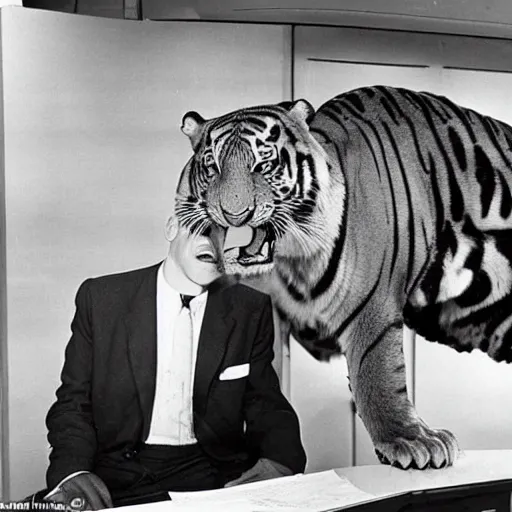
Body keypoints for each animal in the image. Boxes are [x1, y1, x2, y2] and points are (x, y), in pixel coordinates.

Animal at [174, 85, 512, 472]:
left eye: (263, 165)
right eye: (211, 167)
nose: (234, 214)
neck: (294, 260)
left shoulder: (372, 304)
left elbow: (378, 371)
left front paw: (407, 439)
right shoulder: (266, 314)